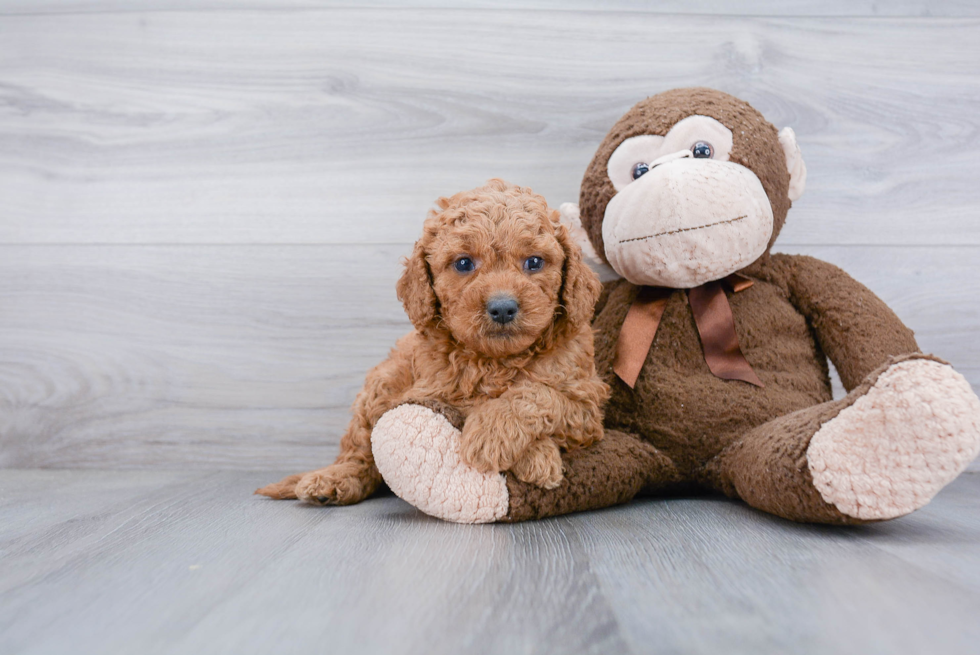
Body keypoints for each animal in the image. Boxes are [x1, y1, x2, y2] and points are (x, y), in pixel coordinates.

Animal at [256, 177, 608, 504]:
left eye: (534, 262)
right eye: (464, 263)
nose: (503, 307)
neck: (497, 360)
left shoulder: (587, 406)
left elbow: (539, 393)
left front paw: (496, 437)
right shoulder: (432, 391)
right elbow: (473, 400)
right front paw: (531, 453)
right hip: (381, 384)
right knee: (359, 450)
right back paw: (333, 480)